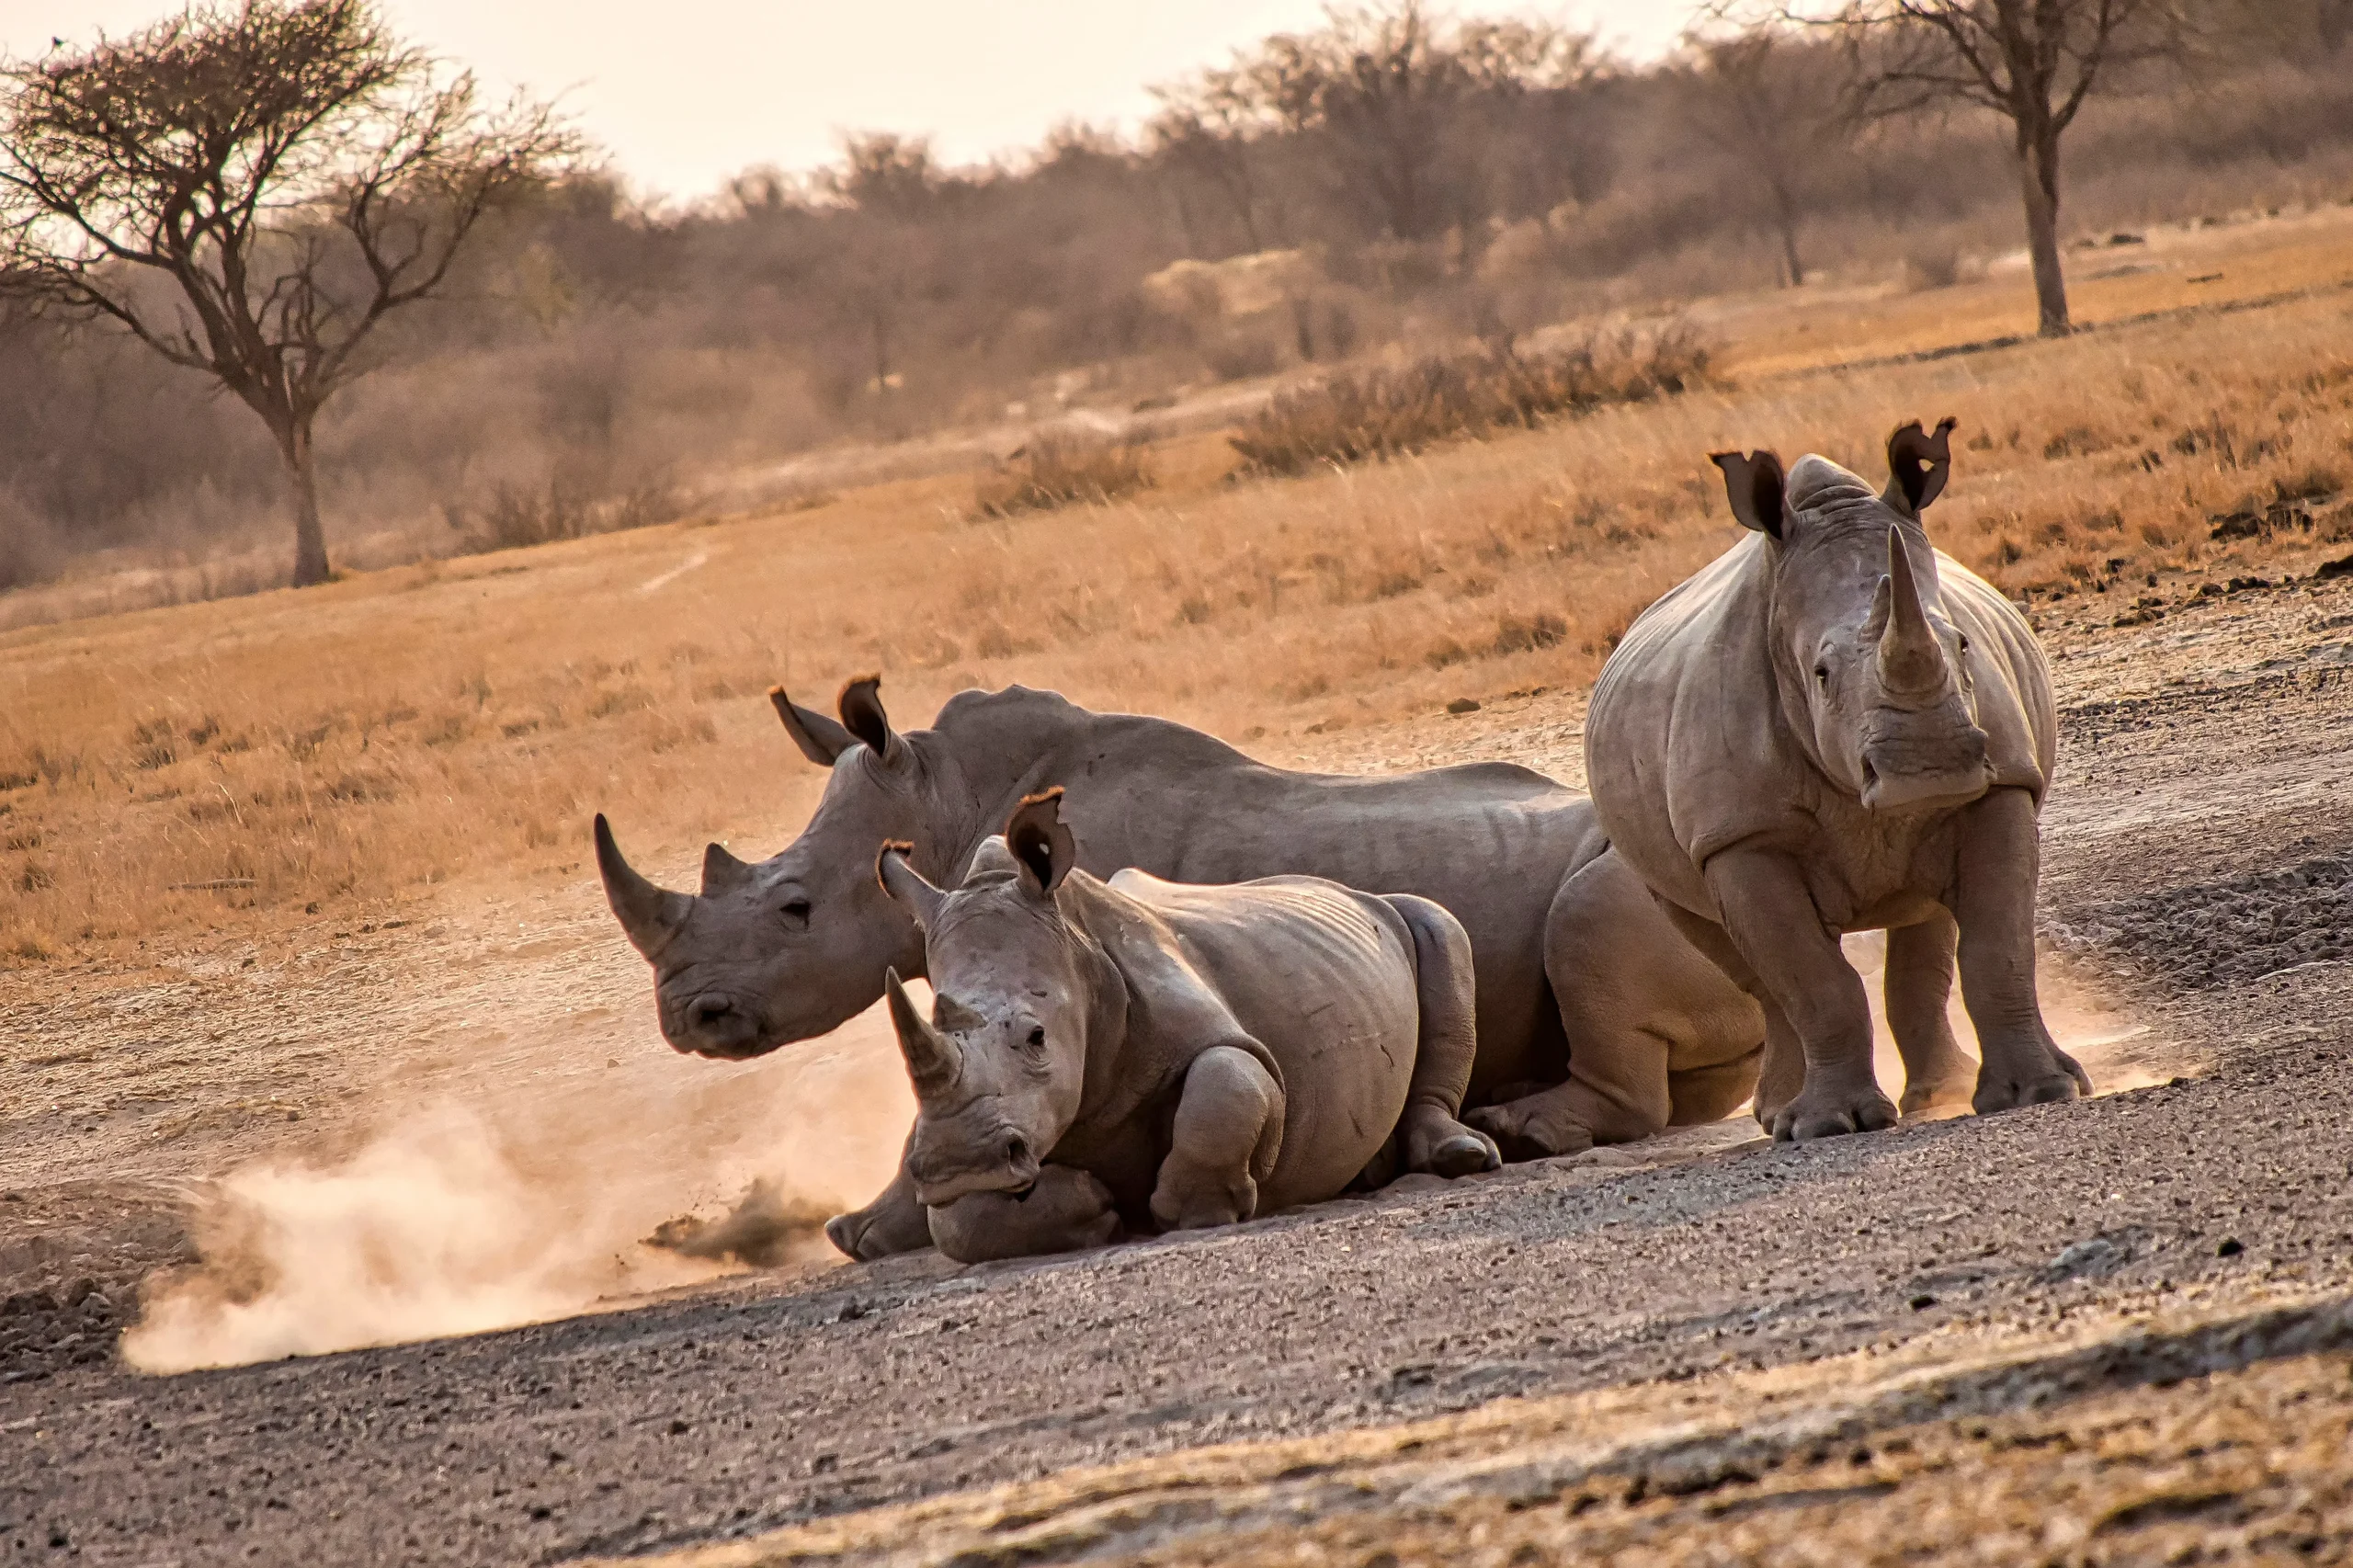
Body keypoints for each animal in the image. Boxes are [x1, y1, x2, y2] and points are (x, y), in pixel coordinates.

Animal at [874, 789, 1498, 1264]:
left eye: (1036, 1038)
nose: (959, 1166)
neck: (1078, 955)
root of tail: (1345, 889)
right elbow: (960, 1225)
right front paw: (1089, 1207)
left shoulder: (1224, 1036)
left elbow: (1229, 1081)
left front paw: (1196, 1211)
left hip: (1401, 914)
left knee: (1439, 926)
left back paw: (1461, 1157)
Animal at [1584, 418, 2089, 1143]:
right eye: (1820, 674)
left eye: (1963, 645)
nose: (1928, 768)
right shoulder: (1740, 834)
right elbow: (1812, 980)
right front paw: (1829, 1126)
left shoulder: (2001, 785)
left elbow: (1998, 948)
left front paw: (2042, 1092)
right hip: (1663, 848)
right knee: (1734, 957)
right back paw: (1781, 1117)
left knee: (1925, 923)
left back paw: (1941, 1092)